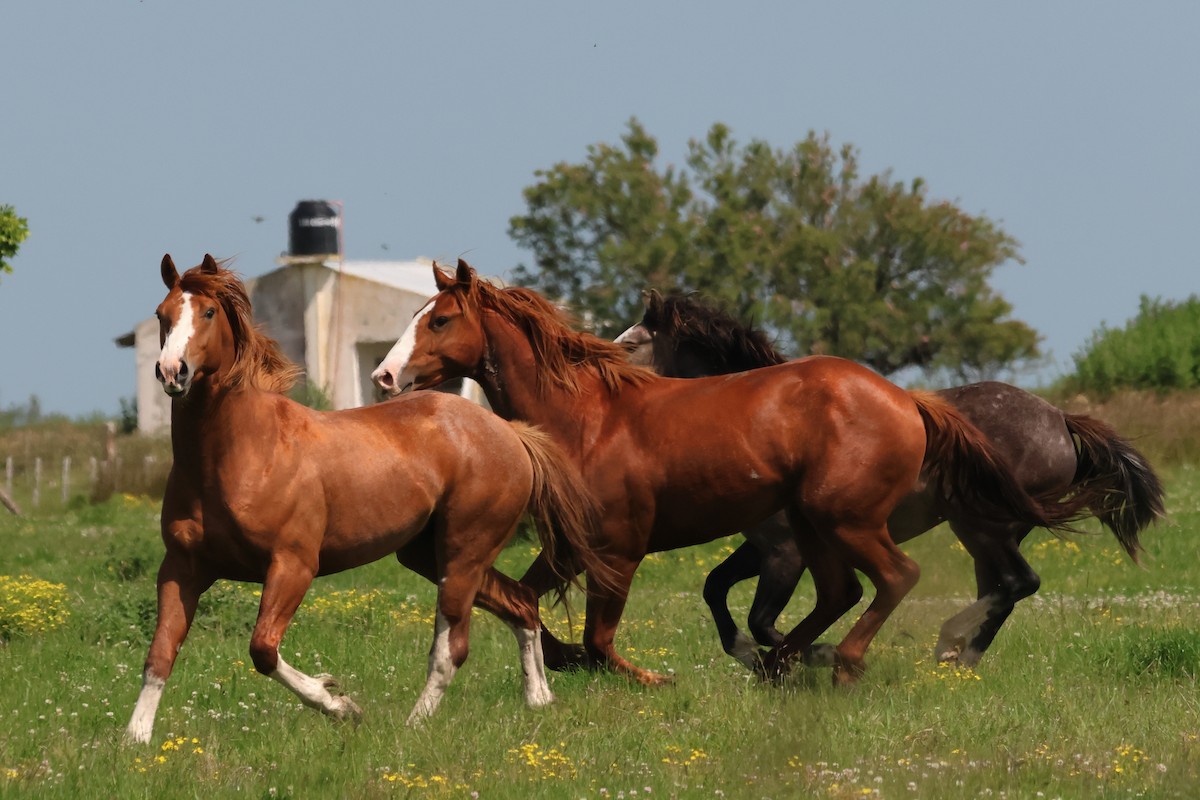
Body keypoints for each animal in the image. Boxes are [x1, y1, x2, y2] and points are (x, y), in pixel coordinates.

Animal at [126, 254, 611, 744]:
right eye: (162, 314)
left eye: (208, 312)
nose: (172, 371)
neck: (241, 453)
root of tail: (510, 433)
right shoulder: (182, 569)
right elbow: (159, 655)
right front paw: (135, 739)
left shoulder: (293, 565)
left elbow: (263, 649)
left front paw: (339, 703)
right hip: (430, 555)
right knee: (521, 604)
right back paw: (539, 699)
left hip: (464, 553)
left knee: (452, 648)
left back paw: (414, 724)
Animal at [371, 259, 1088, 687]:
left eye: (440, 319)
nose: (383, 376)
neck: (582, 415)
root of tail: (909, 401)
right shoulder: (574, 547)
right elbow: (530, 603)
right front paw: (562, 659)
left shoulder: (621, 548)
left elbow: (602, 637)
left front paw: (653, 681)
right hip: (820, 527)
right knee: (847, 592)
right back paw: (792, 664)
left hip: (854, 521)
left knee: (902, 578)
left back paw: (848, 663)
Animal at [616, 289, 1165, 668]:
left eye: (632, 344)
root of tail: (1058, 419)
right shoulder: (760, 548)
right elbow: (715, 588)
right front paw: (759, 655)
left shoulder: (784, 553)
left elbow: (764, 619)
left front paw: (808, 655)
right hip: (987, 533)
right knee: (1002, 590)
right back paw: (958, 660)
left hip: (983, 526)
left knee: (1018, 582)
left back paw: (948, 644)